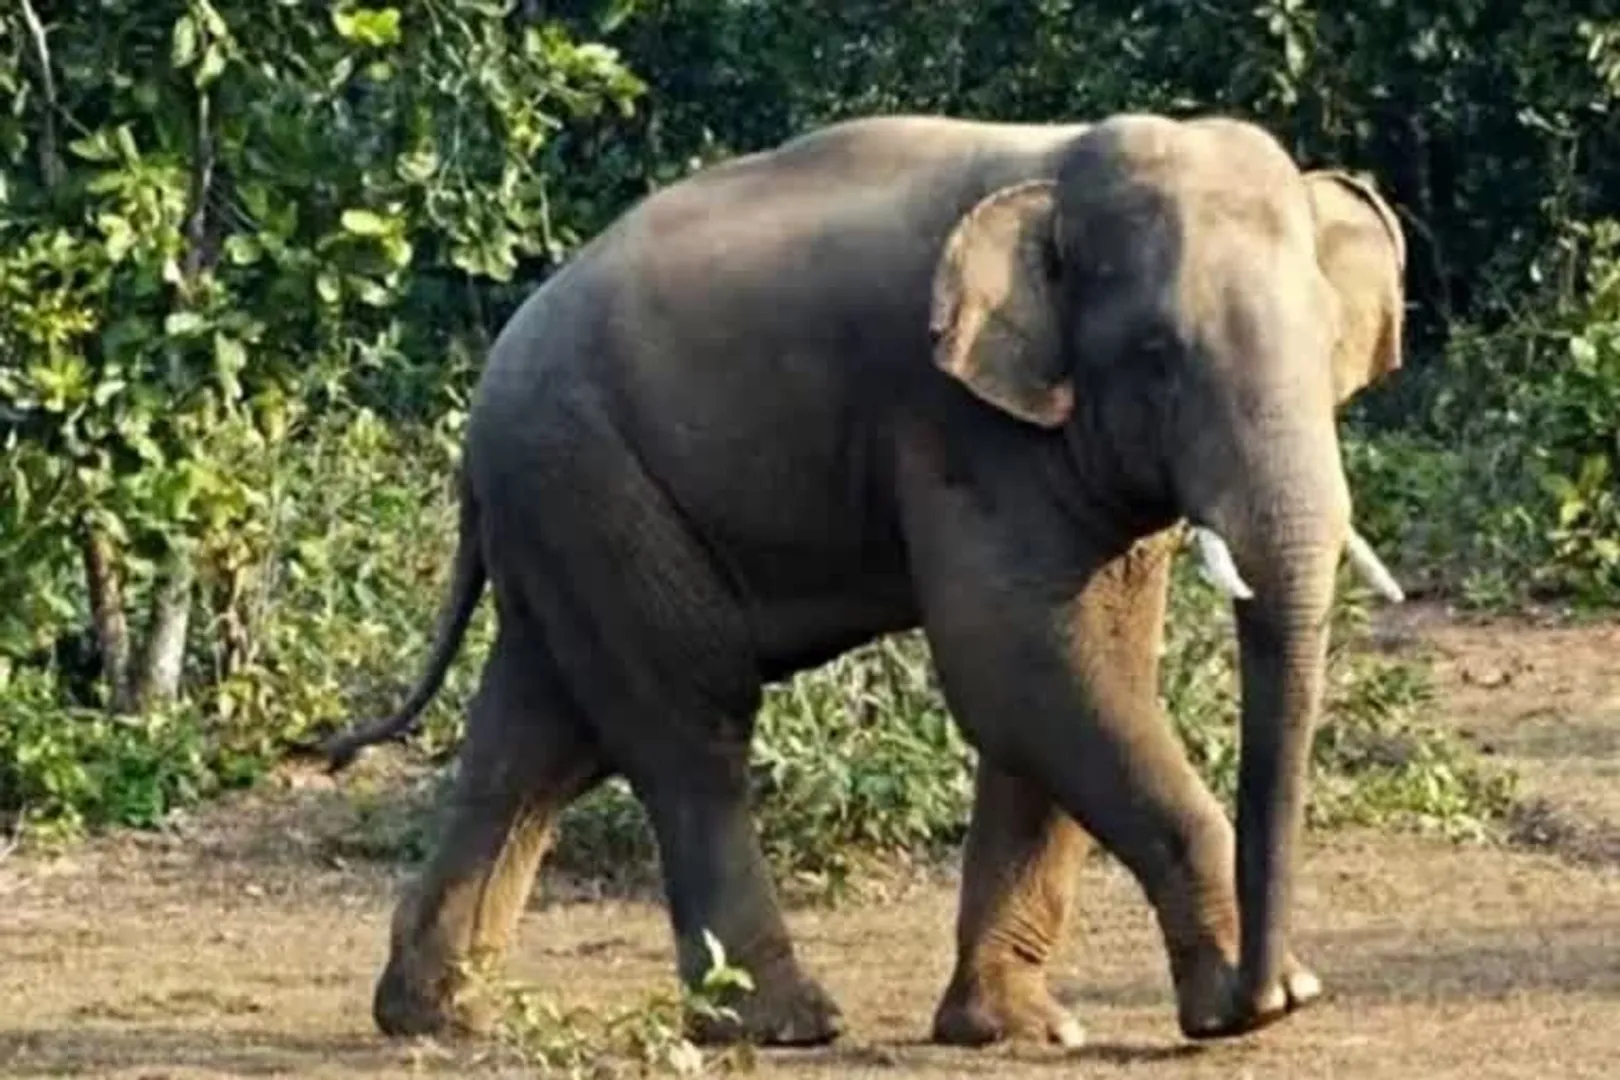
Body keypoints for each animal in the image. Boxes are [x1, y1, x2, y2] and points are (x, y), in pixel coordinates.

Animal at [318, 111, 1409, 1050]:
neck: (1057, 174)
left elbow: (1065, 682)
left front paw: (1017, 1031)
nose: (1271, 988)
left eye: (1329, 343)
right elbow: (1024, 668)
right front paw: (1259, 1006)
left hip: (564, 504)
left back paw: (438, 1015)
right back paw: (784, 1024)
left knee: (541, 736)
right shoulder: (960, 424)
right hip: (590, 478)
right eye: (1158, 354)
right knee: (688, 723)